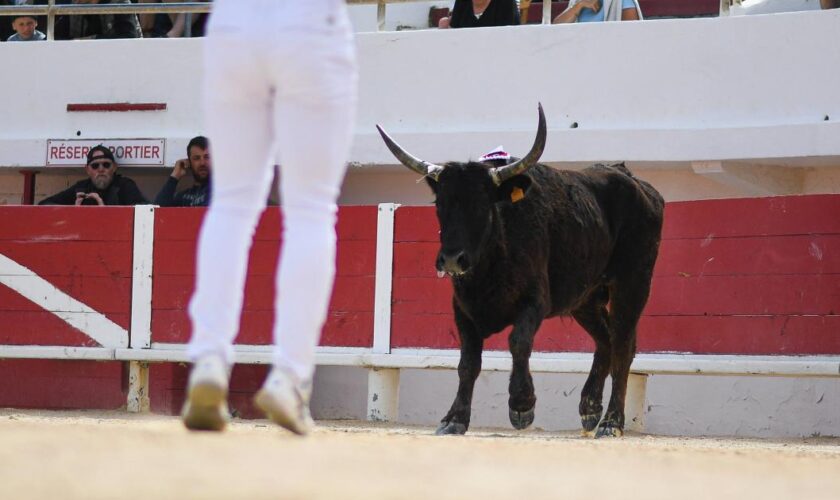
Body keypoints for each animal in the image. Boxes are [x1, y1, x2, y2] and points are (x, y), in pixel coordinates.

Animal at [378, 105, 664, 438]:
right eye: (440, 204)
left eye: (483, 204)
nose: (451, 259)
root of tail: (640, 185)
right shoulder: (462, 309)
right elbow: (468, 362)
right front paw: (454, 418)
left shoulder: (535, 302)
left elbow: (518, 342)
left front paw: (522, 407)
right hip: (585, 298)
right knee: (605, 340)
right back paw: (590, 409)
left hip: (633, 283)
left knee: (622, 345)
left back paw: (611, 423)